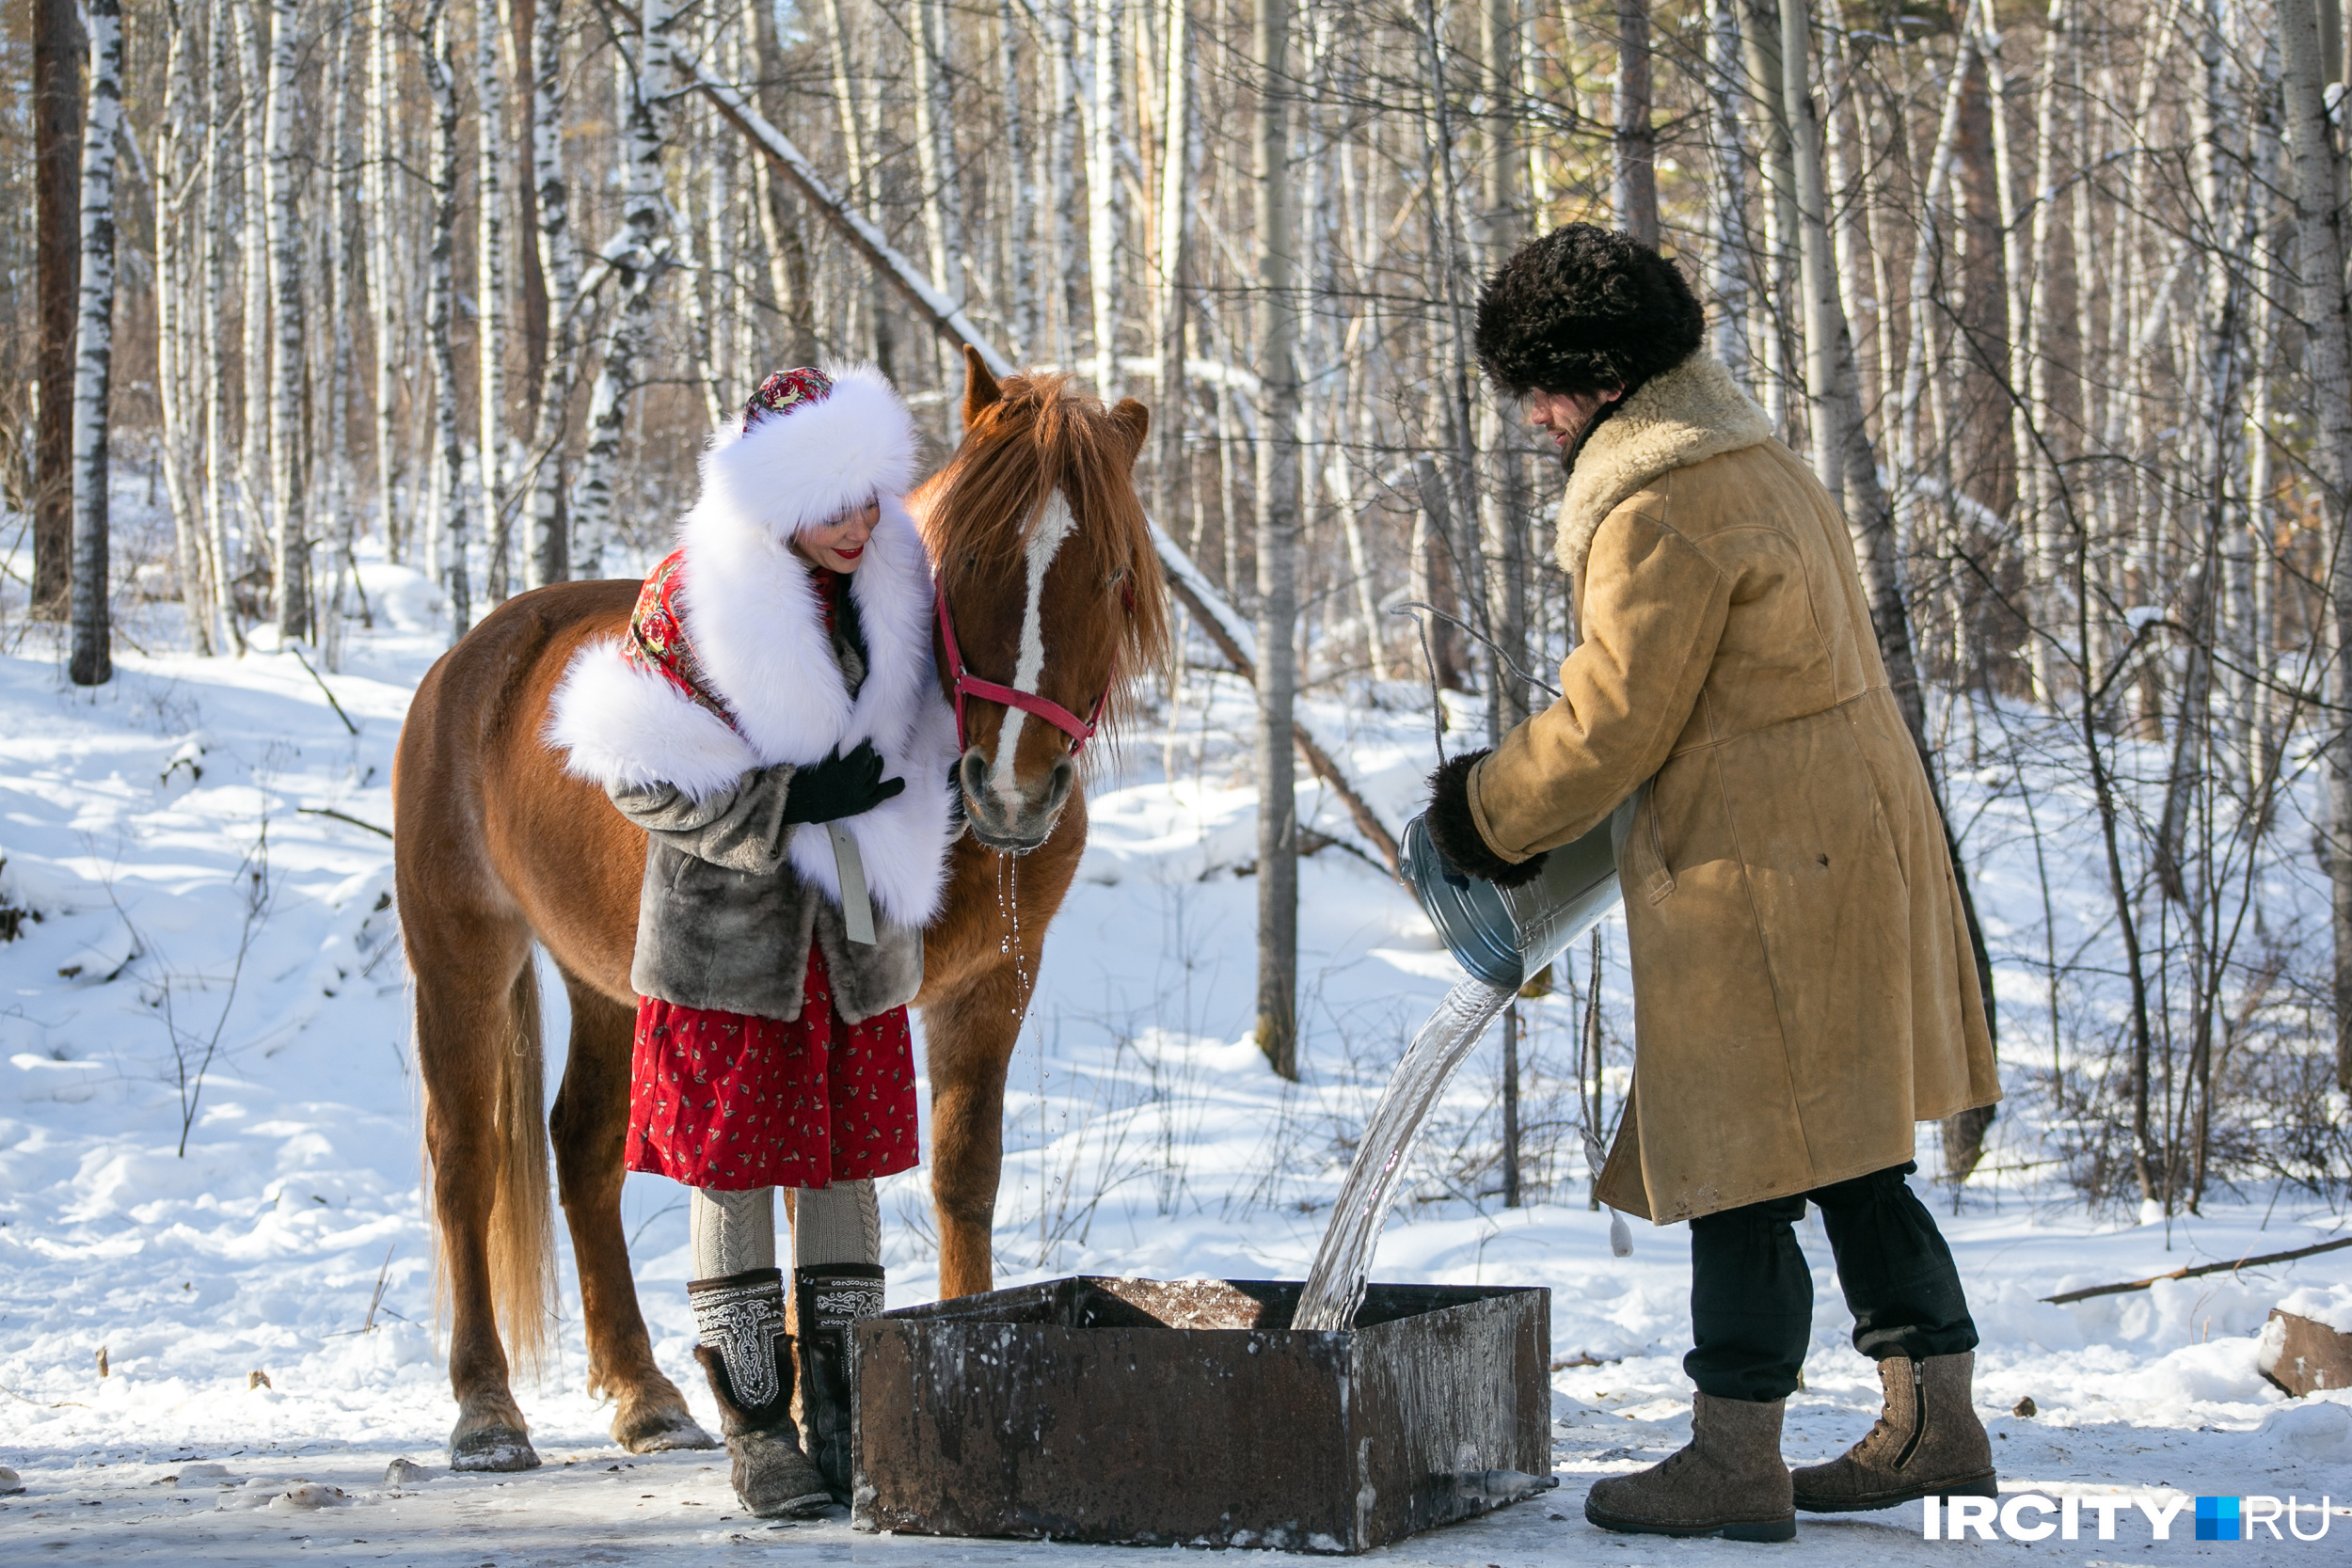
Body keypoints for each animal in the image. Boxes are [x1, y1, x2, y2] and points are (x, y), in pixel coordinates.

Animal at [395, 352, 1185, 1476]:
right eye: (973, 557)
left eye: (1114, 574)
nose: (1014, 790)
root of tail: (474, 656)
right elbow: (782, 1175)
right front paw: (809, 1408)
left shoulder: (992, 986)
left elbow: (964, 1175)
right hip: (462, 956)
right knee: (464, 1158)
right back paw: (487, 1412)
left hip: (610, 986)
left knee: (582, 1148)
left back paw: (646, 1396)